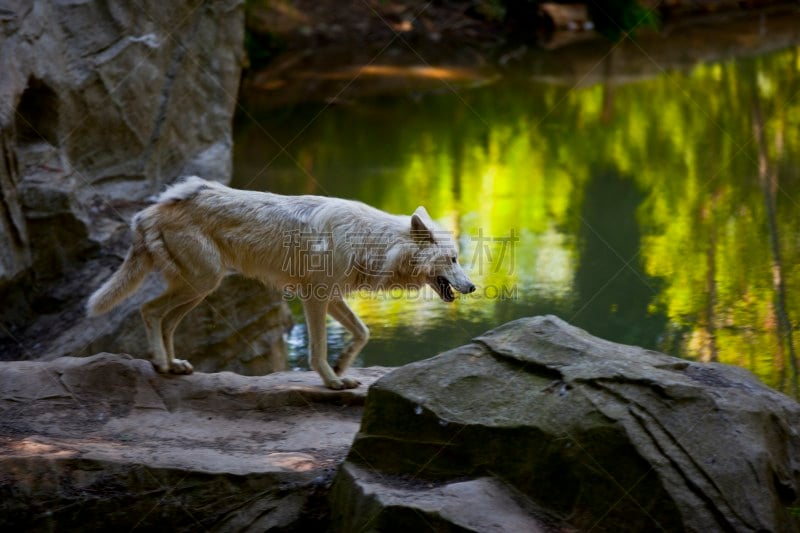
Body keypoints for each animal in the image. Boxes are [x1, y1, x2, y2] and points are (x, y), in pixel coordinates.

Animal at [87, 177, 476, 388]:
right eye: (453, 259)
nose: (472, 287)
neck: (373, 244)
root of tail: (149, 210)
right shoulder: (315, 299)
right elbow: (317, 348)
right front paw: (332, 381)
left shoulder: (332, 297)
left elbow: (362, 332)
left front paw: (342, 369)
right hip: (202, 283)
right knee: (149, 310)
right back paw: (162, 365)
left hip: (200, 288)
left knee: (164, 320)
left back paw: (172, 365)